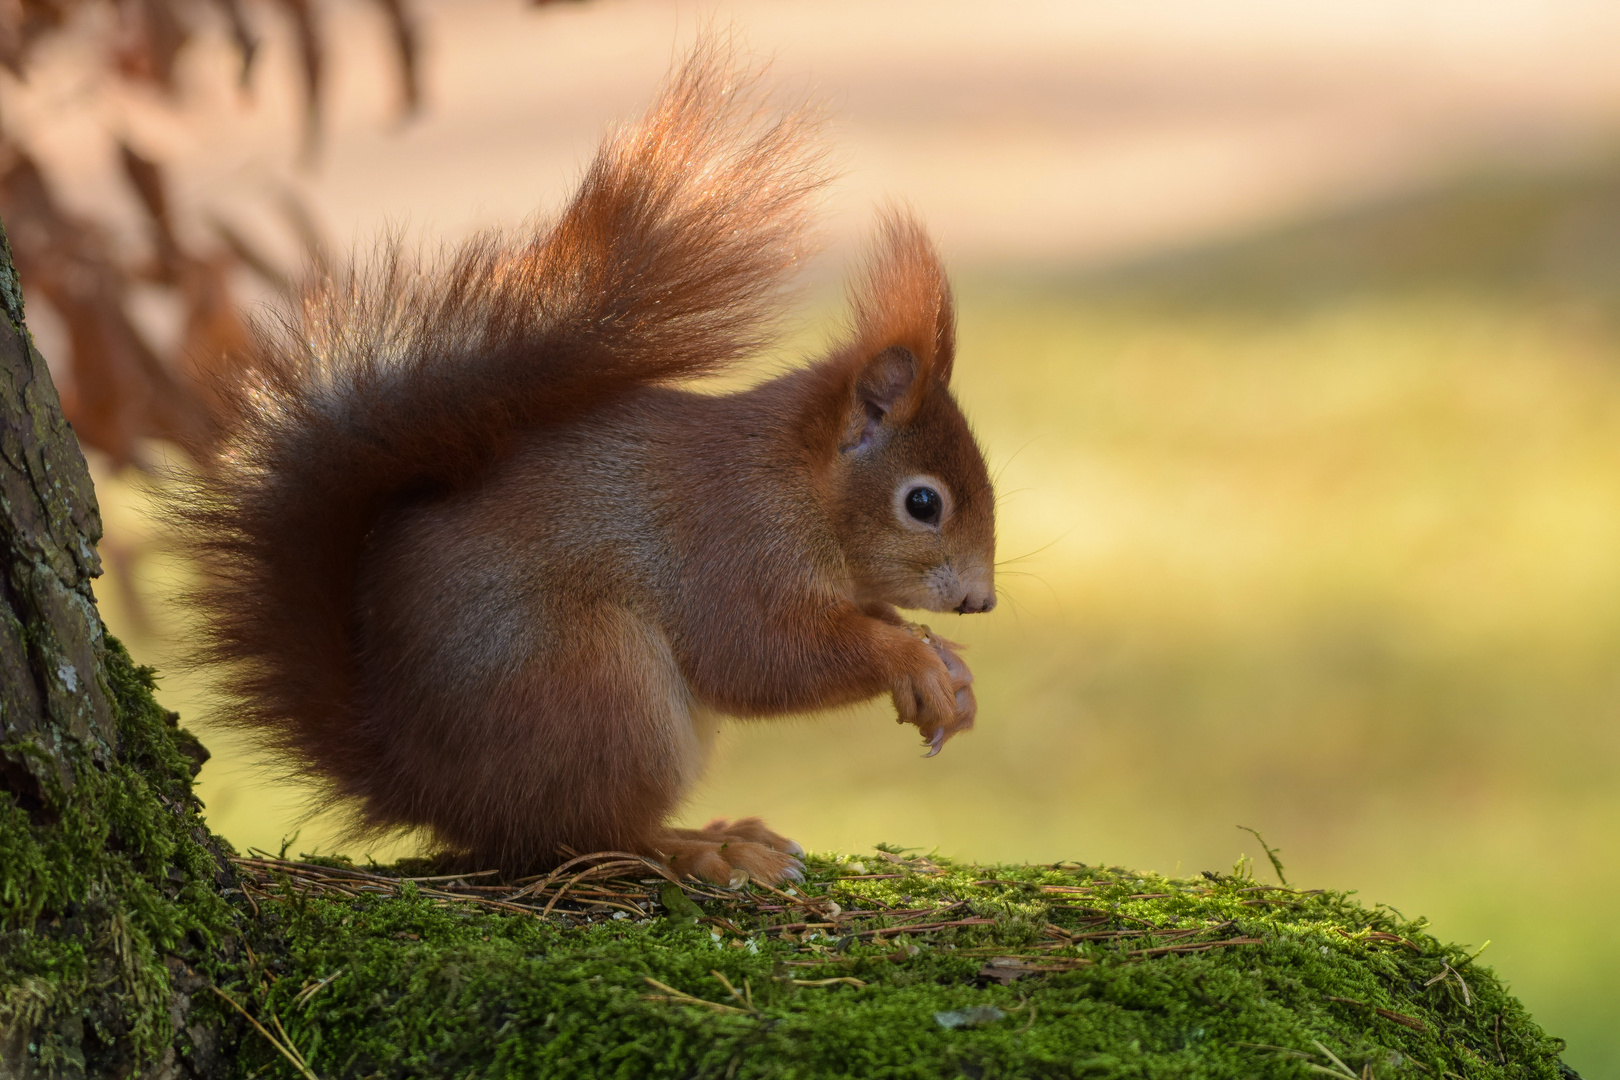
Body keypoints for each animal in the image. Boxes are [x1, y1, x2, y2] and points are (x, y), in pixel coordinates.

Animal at [170, 44, 991, 887]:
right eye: (923, 503)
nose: (980, 601)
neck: (798, 481)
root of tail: (422, 785)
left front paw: (948, 670)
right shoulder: (733, 543)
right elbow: (759, 656)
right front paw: (906, 655)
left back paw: (727, 829)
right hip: (598, 678)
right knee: (591, 833)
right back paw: (707, 850)